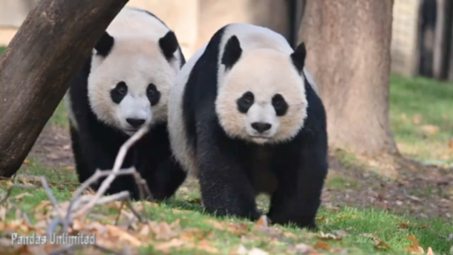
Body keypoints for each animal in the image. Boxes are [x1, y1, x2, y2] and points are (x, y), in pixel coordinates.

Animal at [65, 6, 187, 201]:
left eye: (151, 91)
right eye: (120, 90)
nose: (135, 121)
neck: (133, 30)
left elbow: (163, 147)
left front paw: (151, 190)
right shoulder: (84, 88)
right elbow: (101, 140)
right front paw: (119, 188)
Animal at [168, 22, 326, 229]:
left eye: (278, 102)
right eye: (247, 99)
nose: (261, 126)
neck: (259, 43)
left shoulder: (308, 110)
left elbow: (305, 164)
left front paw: (292, 219)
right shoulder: (212, 93)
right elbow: (220, 156)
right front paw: (238, 213)